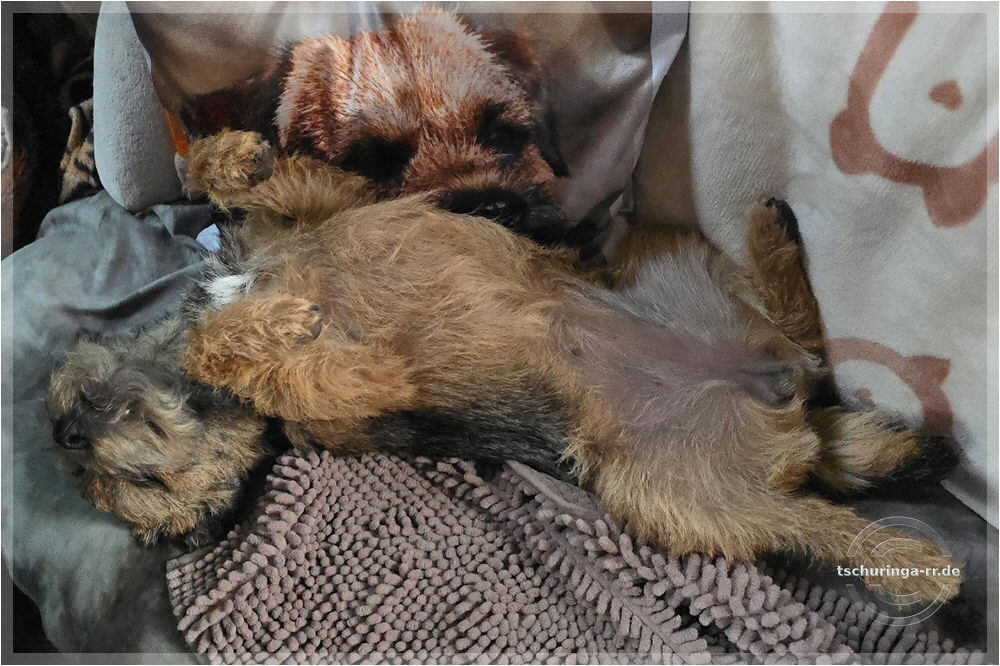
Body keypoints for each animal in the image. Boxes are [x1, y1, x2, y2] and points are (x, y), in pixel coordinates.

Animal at [48, 131, 961, 603]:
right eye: (146, 491)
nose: (65, 433)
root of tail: (769, 394)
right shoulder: (357, 395)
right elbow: (249, 349)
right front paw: (266, 326)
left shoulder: (335, 208)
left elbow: (257, 184)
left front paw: (241, 159)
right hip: (675, 499)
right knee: (809, 519)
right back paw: (921, 562)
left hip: (663, 261)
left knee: (807, 347)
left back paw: (776, 240)